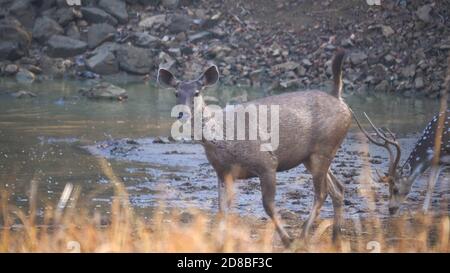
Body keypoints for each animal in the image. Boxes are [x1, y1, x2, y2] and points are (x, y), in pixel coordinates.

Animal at [158, 49, 352, 246]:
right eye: (176, 93)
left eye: (197, 93)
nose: (181, 113)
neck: (225, 140)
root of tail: (339, 99)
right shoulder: (222, 171)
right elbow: (222, 208)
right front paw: (220, 242)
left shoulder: (267, 162)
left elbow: (268, 205)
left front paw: (286, 239)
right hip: (311, 156)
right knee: (338, 188)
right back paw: (336, 237)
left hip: (324, 148)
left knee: (321, 194)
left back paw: (301, 237)